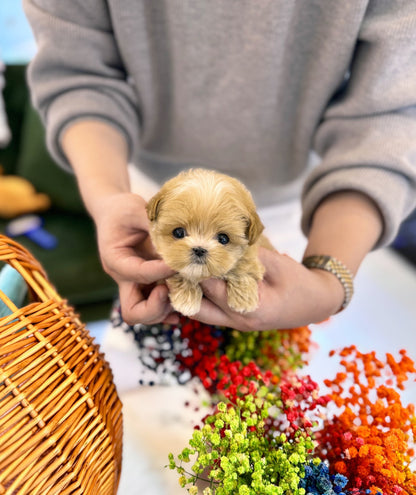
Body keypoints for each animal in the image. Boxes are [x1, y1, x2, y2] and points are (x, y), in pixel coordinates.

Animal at [146, 169, 272, 318]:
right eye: (178, 232)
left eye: (223, 239)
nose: (199, 249)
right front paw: (187, 299)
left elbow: (244, 266)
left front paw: (244, 299)